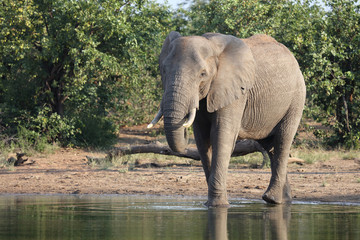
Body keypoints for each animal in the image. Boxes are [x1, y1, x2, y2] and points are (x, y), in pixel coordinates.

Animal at [148, 31, 306, 206]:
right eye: (163, 71)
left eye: (203, 74)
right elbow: (203, 140)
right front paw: (210, 204)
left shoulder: (236, 91)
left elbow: (221, 136)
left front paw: (218, 205)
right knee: (270, 147)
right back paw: (281, 200)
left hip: (296, 98)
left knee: (282, 142)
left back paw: (273, 199)